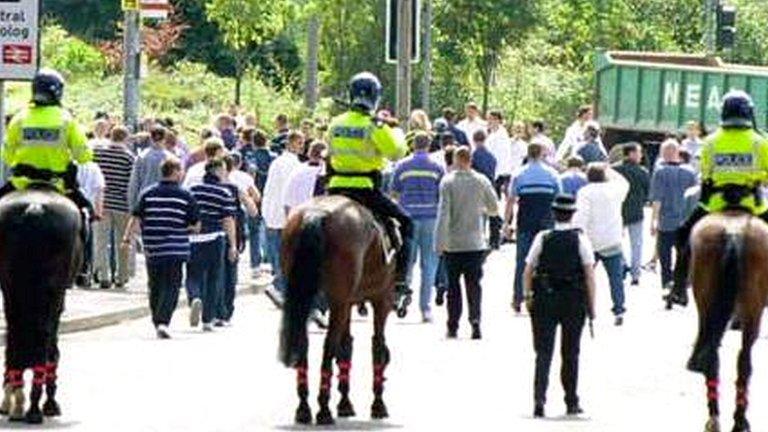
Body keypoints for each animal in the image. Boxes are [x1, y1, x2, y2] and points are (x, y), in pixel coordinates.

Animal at [0, 190, 83, 426]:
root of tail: (35, 207)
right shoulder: (57, 301)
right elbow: (53, 350)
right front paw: (50, 403)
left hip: (14, 291)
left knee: (15, 338)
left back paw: (21, 404)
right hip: (49, 297)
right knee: (43, 341)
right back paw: (34, 407)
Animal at [278, 195, 396, 426]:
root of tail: (316, 214)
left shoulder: (348, 303)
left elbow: (346, 347)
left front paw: (345, 403)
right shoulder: (382, 300)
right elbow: (377, 346)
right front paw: (378, 404)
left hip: (314, 297)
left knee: (305, 342)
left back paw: (304, 408)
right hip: (340, 300)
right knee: (328, 346)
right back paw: (323, 409)